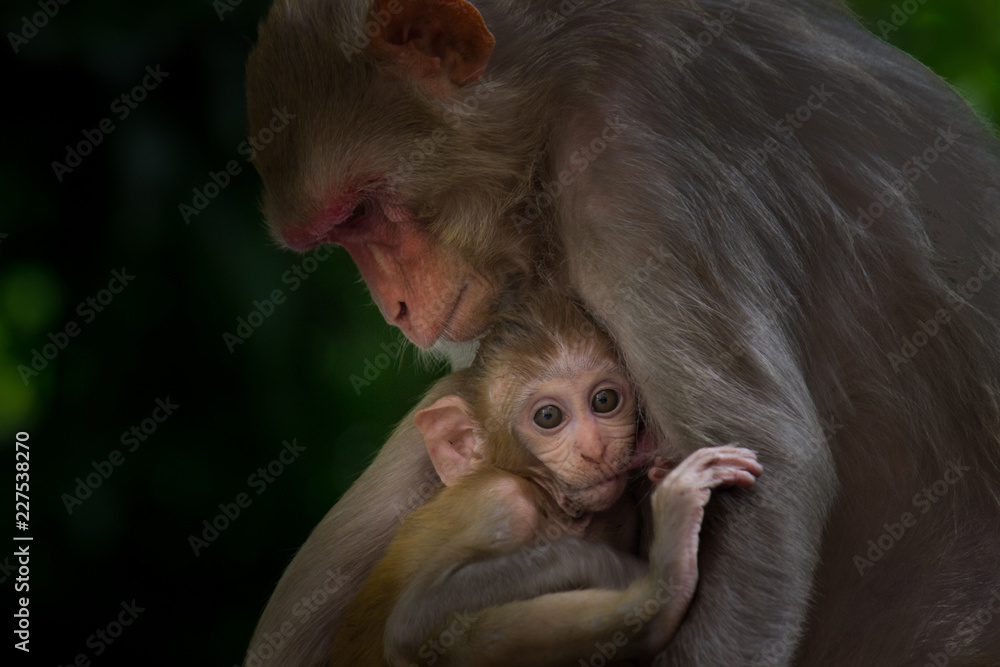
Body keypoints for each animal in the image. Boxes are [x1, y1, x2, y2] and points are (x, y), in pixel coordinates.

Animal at [330, 292, 762, 666]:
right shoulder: (500, 502)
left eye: (605, 400)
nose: (595, 449)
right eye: (548, 417)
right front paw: (624, 572)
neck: (552, 505)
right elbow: (414, 622)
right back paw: (661, 594)